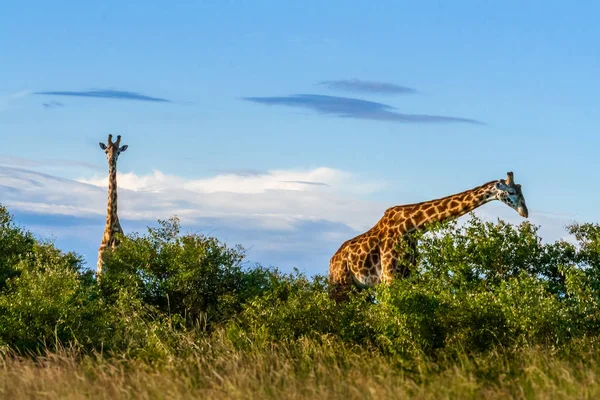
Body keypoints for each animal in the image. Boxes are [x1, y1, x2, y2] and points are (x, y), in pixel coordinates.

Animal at [328, 170, 528, 296]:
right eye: (511, 191)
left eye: (521, 191)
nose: (524, 212)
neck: (412, 226)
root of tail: (331, 262)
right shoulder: (388, 277)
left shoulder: (408, 275)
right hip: (341, 285)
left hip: (359, 288)